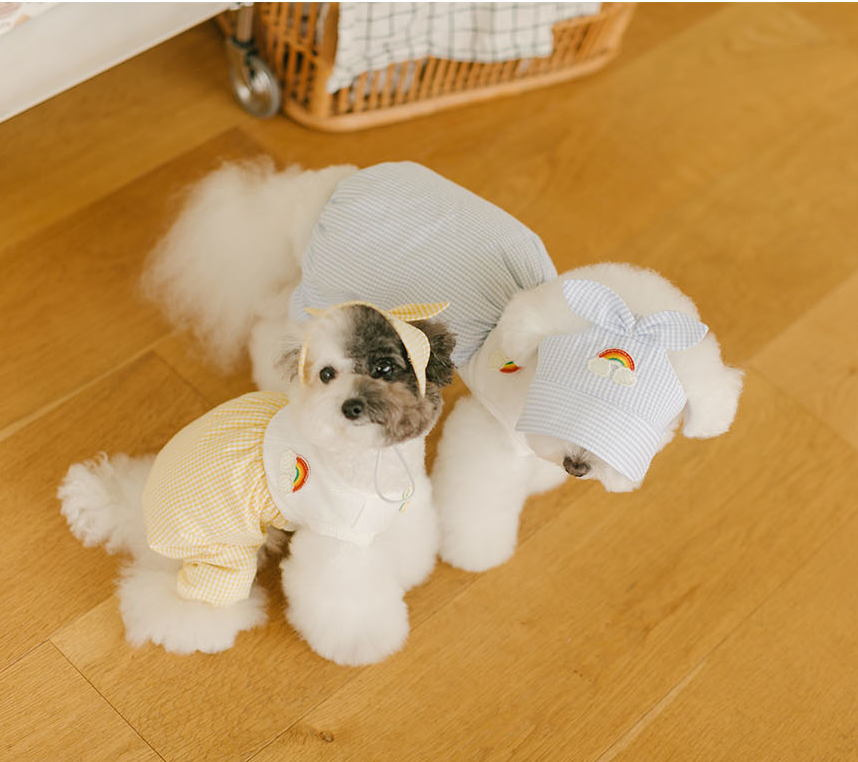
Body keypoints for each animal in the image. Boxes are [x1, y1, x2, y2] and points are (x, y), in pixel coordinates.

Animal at [59, 300, 454, 664]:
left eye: (383, 368)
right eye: (327, 374)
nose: (351, 406)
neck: (372, 463)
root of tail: (140, 516)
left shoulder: (397, 511)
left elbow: (404, 547)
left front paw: (407, 575)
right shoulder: (333, 543)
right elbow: (346, 599)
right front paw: (364, 643)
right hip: (222, 556)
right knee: (181, 600)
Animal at [137, 159, 740, 576]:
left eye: (654, 422)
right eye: (572, 385)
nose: (578, 466)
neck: (530, 385)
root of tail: (326, 189)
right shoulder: (489, 433)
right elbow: (479, 497)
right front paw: (473, 553)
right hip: (331, 296)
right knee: (278, 333)